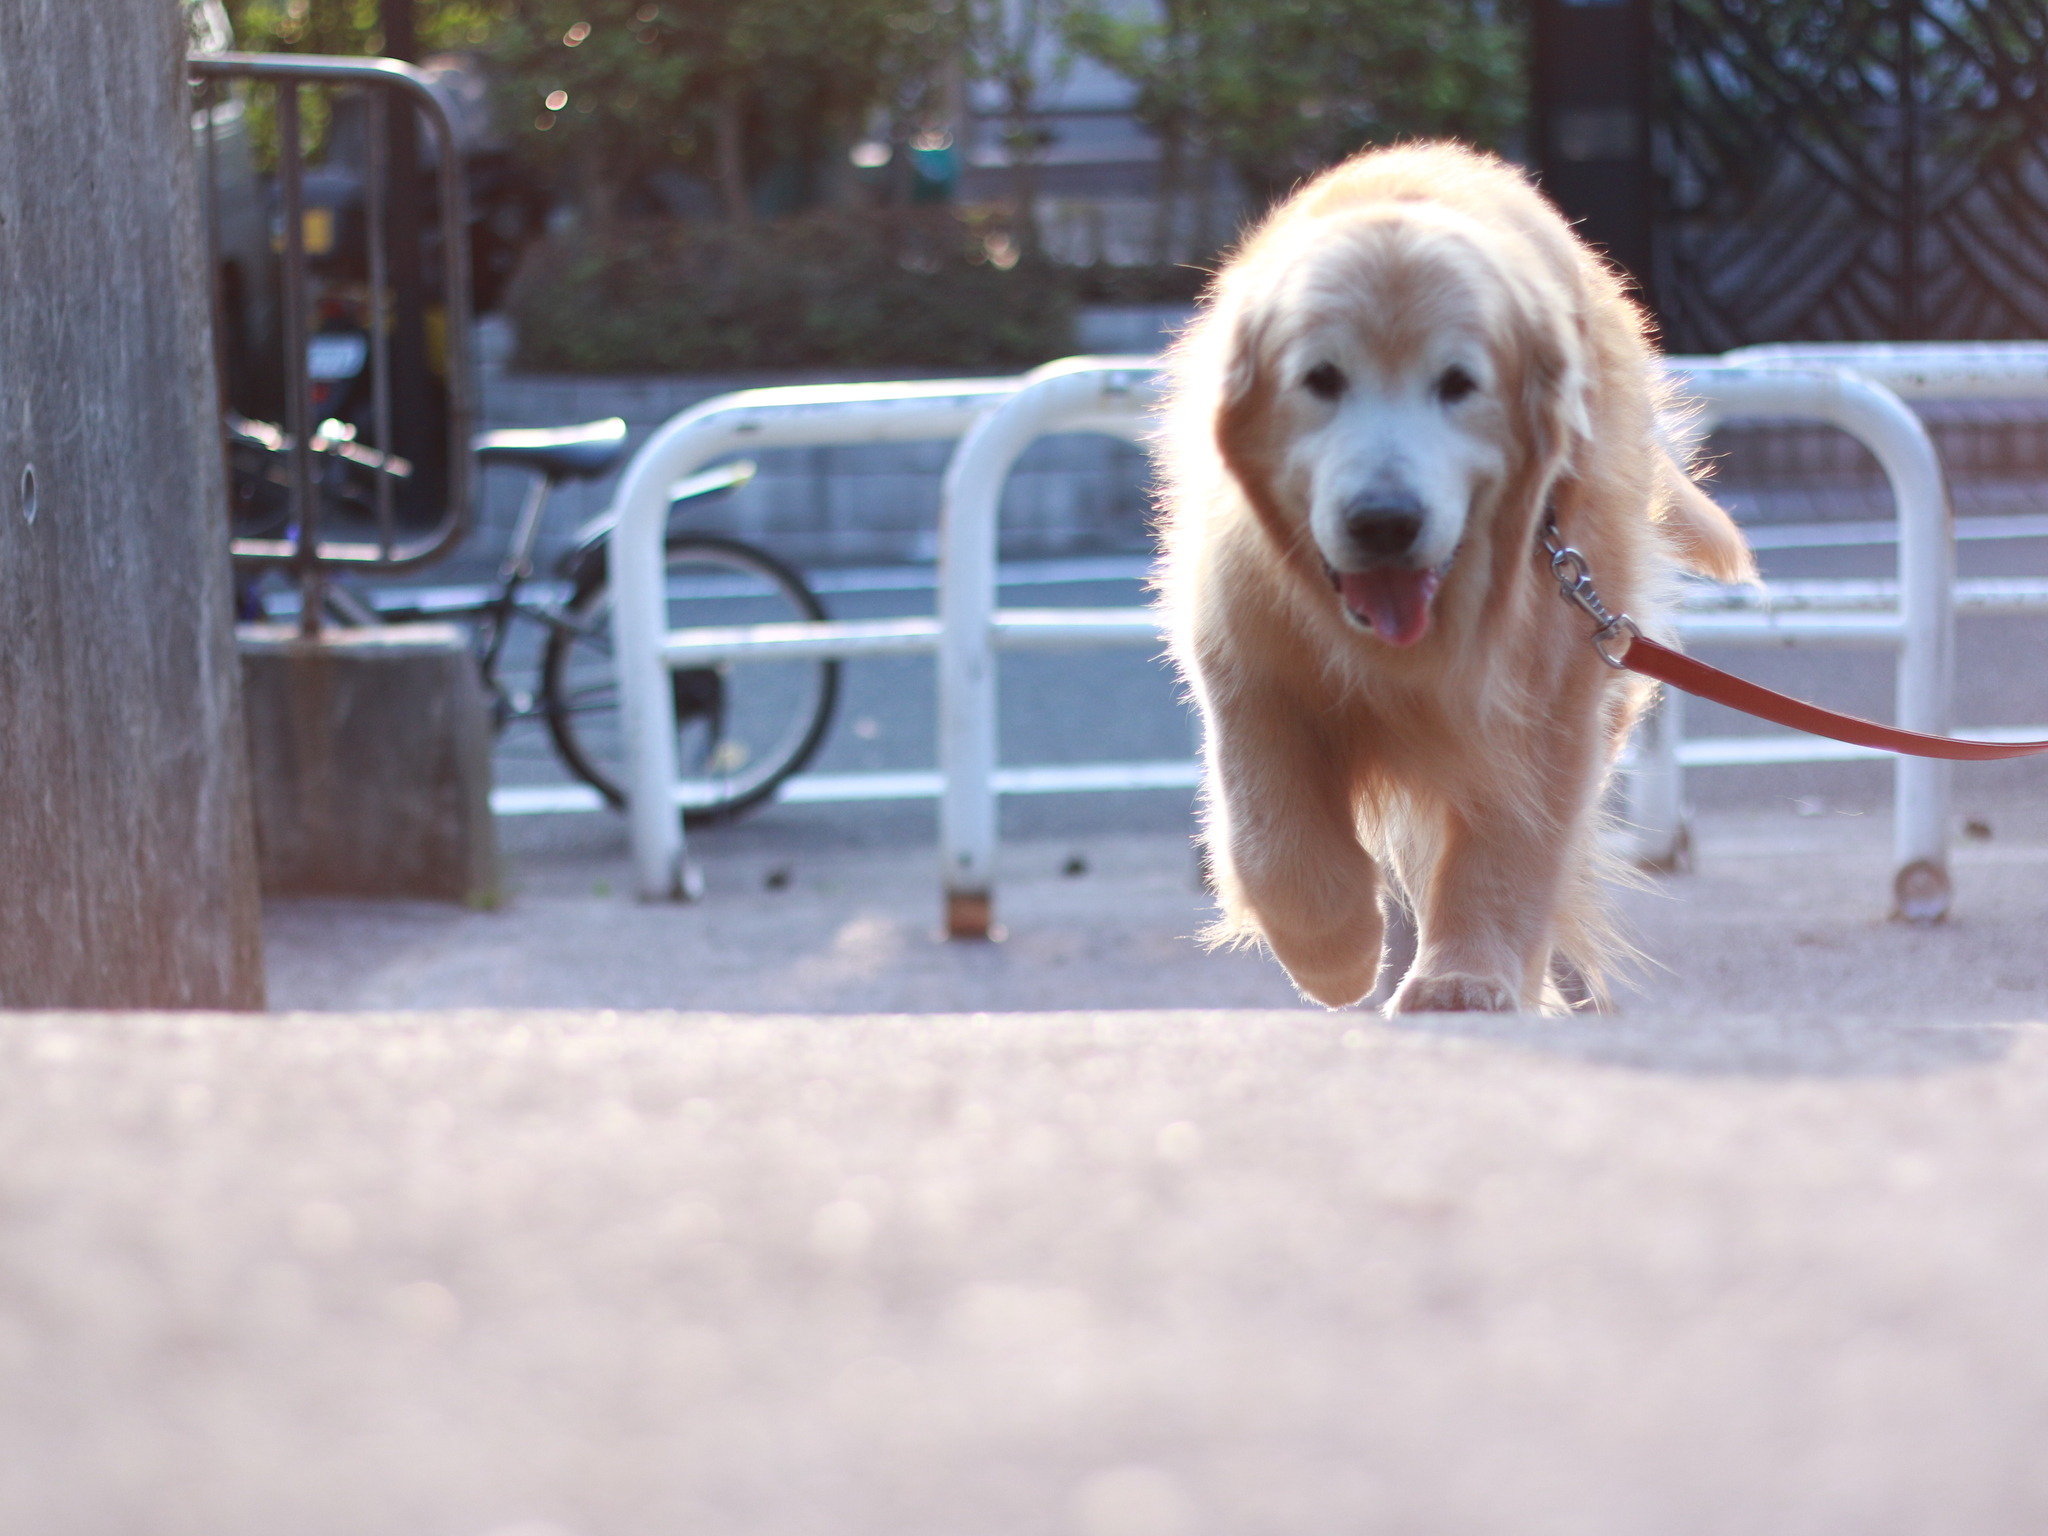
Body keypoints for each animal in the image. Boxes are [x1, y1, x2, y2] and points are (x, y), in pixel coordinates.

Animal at [1163, 141, 1753, 1011]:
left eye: (1458, 384)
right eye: (1322, 379)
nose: (1383, 521)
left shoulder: (1546, 698)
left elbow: (1512, 843)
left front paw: (1468, 978)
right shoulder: (1248, 660)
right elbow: (1274, 838)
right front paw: (1335, 950)